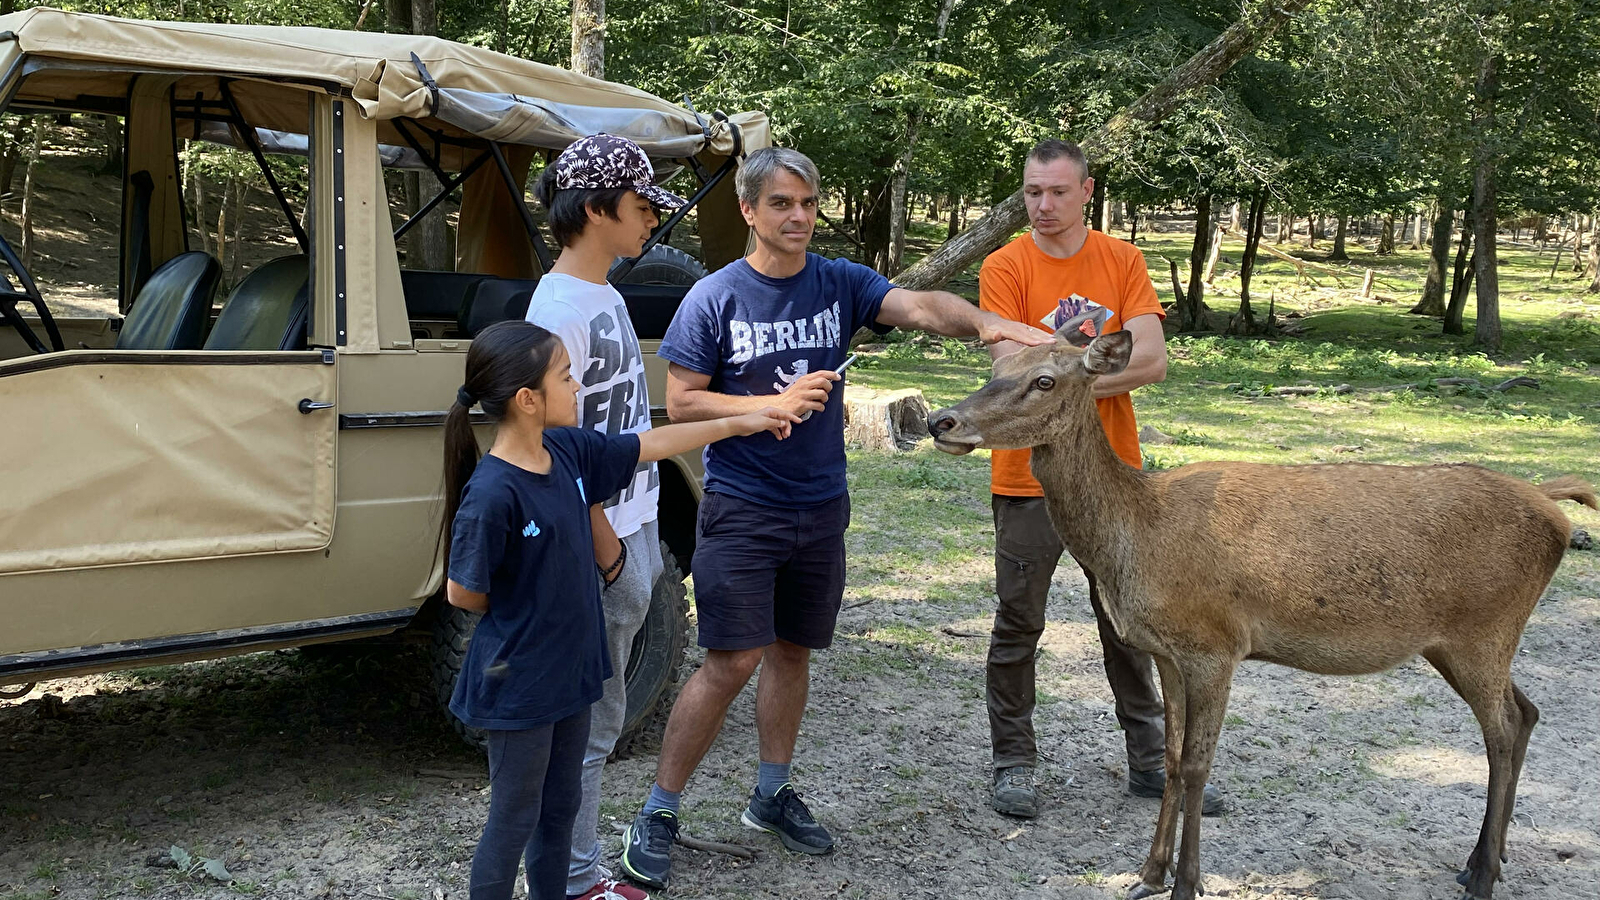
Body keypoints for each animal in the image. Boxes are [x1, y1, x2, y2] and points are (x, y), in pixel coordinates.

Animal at [928, 305, 1600, 896]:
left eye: (1044, 380)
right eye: (997, 367)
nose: (941, 421)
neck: (1136, 540)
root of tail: (1553, 509)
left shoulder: (1215, 644)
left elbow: (1197, 767)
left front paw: (1187, 885)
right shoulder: (1167, 651)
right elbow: (1171, 757)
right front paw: (1147, 875)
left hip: (1484, 630)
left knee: (1503, 730)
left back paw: (1483, 875)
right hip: (1458, 643)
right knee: (1528, 711)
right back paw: (1482, 862)